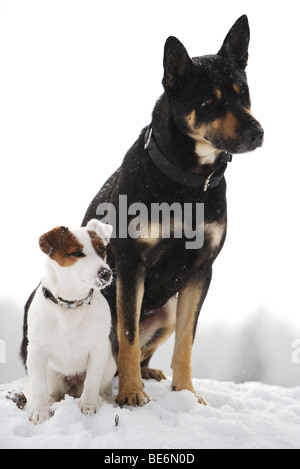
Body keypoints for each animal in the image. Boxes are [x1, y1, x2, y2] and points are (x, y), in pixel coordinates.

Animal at [20, 218, 116, 422]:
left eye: (101, 250)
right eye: (77, 253)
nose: (106, 273)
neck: (71, 305)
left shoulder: (98, 349)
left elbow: (92, 382)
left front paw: (88, 405)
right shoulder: (36, 351)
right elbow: (39, 387)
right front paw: (39, 411)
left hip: (110, 364)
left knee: (100, 387)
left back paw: (102, 399)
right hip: (50, 372)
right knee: (53, 391)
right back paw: (51, 399)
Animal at [82, 12, 262, 404]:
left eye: (243, 94)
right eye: (208, 102)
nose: (258, 133)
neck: (188, 180)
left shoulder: (201, 270)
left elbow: (186, 343)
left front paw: (187, 394)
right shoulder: (131, 265)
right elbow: (129, 336)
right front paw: (131, 394)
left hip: (164, 313)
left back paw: (150, 373)